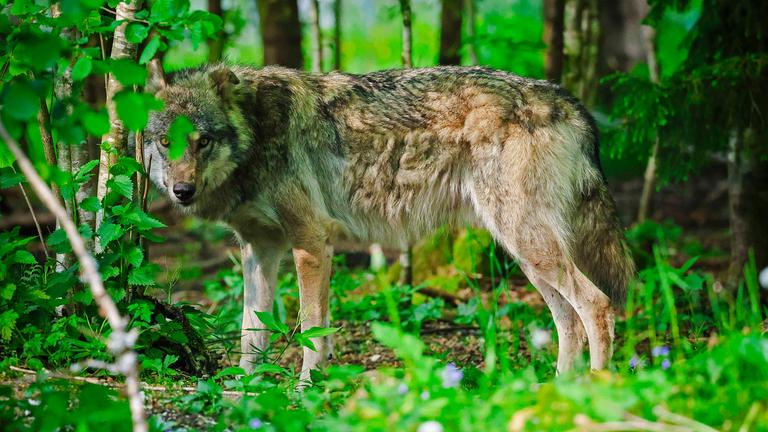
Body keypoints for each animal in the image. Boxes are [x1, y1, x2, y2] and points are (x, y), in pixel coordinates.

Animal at [144, 64, 635, 381]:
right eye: (166, 142)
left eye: (203, 141)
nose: (182, 191)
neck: (255, 131)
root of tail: (571, 102)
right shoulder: (258, 249)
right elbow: (251, 331)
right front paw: (245, 391)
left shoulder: (310, 242)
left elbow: (311, 328)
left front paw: (306, 392)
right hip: (527, 255)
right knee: (568, 320)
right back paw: (557, 396)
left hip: (528, 244)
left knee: (596, 305)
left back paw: (596, 395)